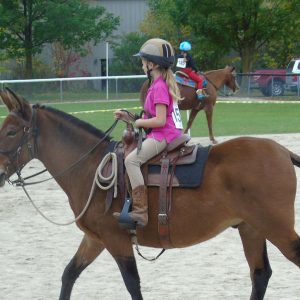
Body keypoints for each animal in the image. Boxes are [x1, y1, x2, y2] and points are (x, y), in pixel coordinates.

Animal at [0, 87, 300, 300]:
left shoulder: (115, 240)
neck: (90, 167)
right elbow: (69, 275)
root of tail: (283, 151)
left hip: (276, 228)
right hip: (252, 228)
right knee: (260, 274)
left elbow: (132, 284)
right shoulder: (94, 239)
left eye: (11, 132)